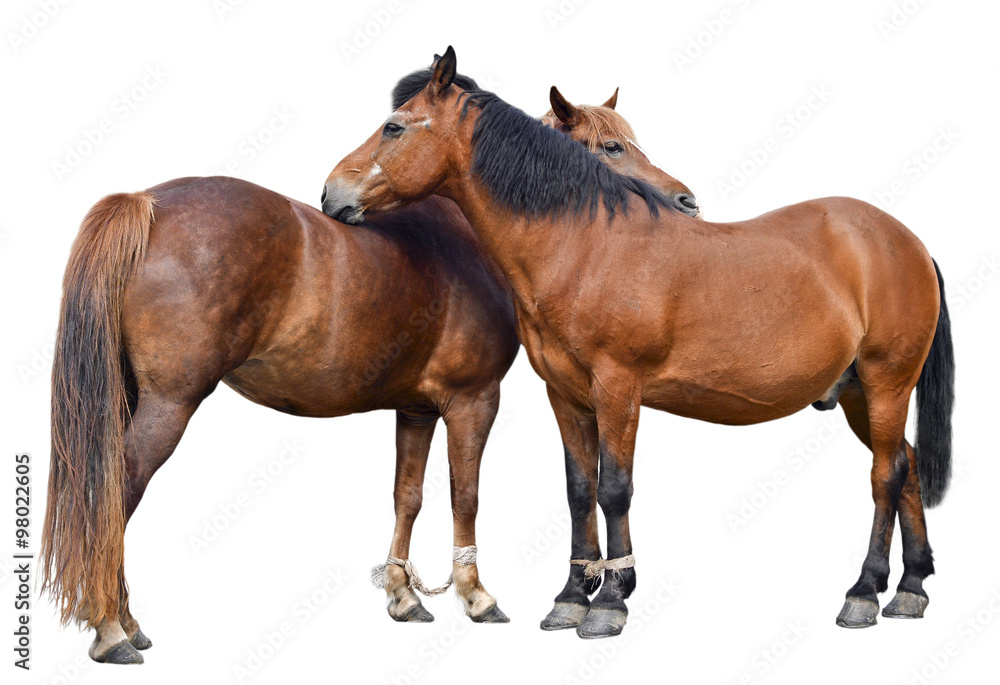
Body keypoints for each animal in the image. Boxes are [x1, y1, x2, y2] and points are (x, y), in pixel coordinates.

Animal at [40, 62, 703, 664]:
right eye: (613, 146)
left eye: (393, 127)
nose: (685, 203)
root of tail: (146, 204)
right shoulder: (473, 400)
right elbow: (466, 494)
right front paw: (476, 596)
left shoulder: (416, 409)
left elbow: (407, 495)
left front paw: (404, 596)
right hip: (170, 403)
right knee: (118, 491)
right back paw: (111, 629)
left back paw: (127, 623)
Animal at [321, 46, 955, 639]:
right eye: (612, 147)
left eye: (394, 127)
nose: (331, 193)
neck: (584, 245)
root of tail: (908, 241)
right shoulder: (567, 394)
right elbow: (580, 490)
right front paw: (570, 598)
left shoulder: (618, 389)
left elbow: (615, 490)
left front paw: (610, 602)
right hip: (856, 395)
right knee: (906, 467)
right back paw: (911, 589)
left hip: (887, 382)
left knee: (885, 476)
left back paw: (864, 592)